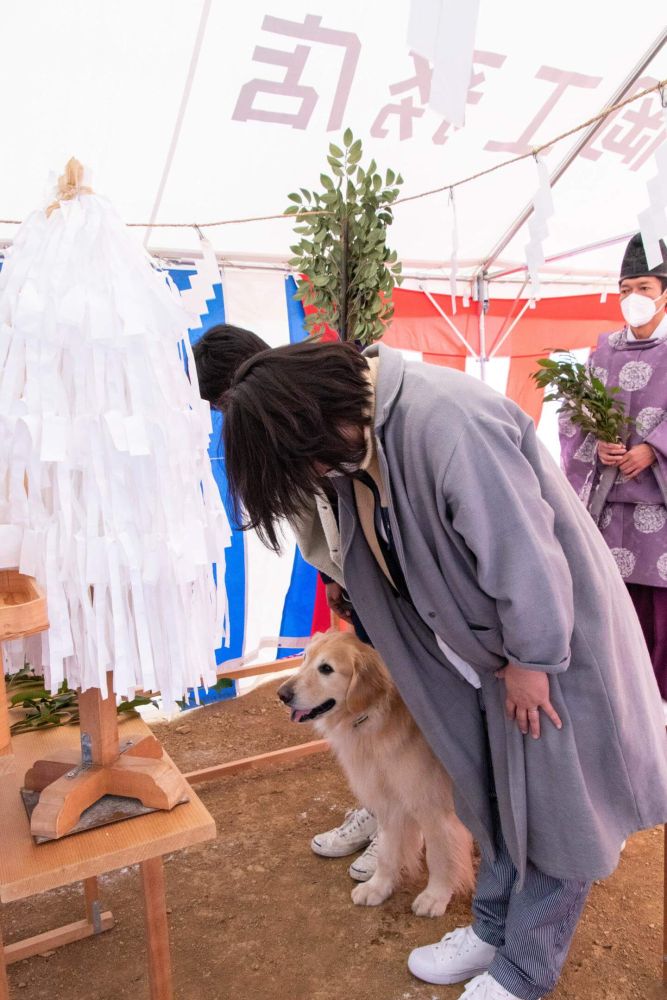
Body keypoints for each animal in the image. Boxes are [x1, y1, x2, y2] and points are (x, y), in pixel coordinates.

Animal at [278, 632, 474, 916]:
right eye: (304, 658)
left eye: (326, 669)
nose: (281, 694)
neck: (376, 716)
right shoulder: (388, 800)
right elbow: (387, 852)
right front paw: (378, 887)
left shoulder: (434, 807)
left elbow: (440, 856)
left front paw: (435, 896)